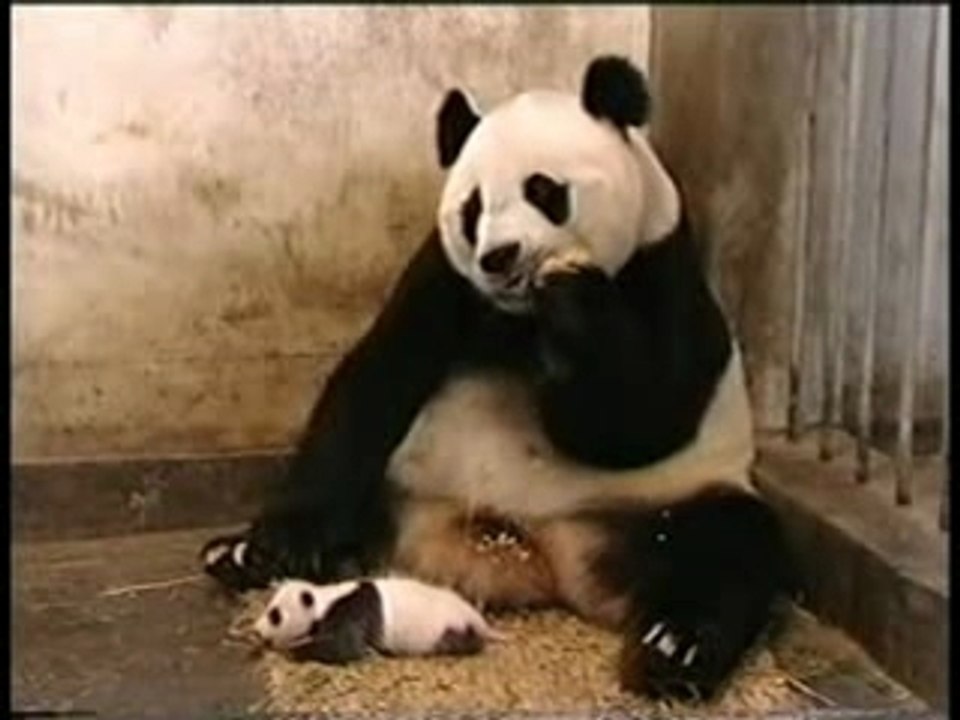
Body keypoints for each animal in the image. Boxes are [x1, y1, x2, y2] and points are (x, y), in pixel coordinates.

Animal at [201, 55, 793, 702]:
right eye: (473, 208)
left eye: (545, 191)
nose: (501, 257)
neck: (521, 317)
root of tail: (536, 558)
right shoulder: (443, 278)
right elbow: (376, 379)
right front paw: (284, 541)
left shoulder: (663, 268)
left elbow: (640, 421)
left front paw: (574, 303)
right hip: (403, 484)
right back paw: (244, 556)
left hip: (663, 502)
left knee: (731, 546)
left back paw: (673, 648)